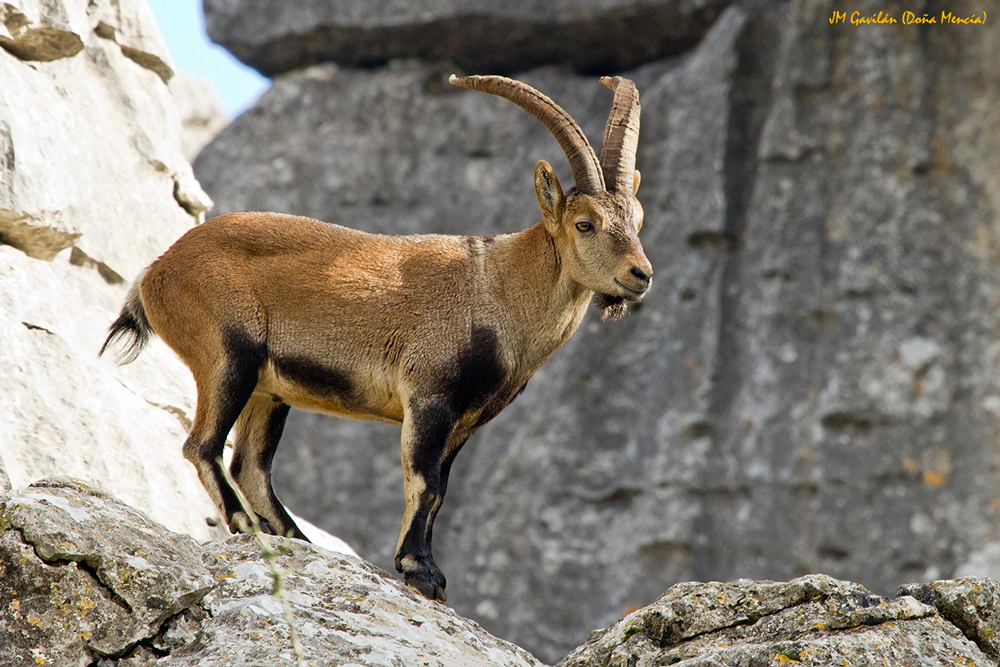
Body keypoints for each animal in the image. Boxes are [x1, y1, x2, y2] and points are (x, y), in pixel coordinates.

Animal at [101, 74, 652, 602]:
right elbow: (425, 484)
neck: (498, 288)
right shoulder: (429, 397)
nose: (641, 275)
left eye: (638, 220)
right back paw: (245, 527)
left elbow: (442, 488)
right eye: (585, 224)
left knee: (251, 465)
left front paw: (427, 572)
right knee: (203, 446)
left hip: (268, 390)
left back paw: (295, 539)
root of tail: (155, 273)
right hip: (226, 358)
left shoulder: (465, 420)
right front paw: (419, 572)